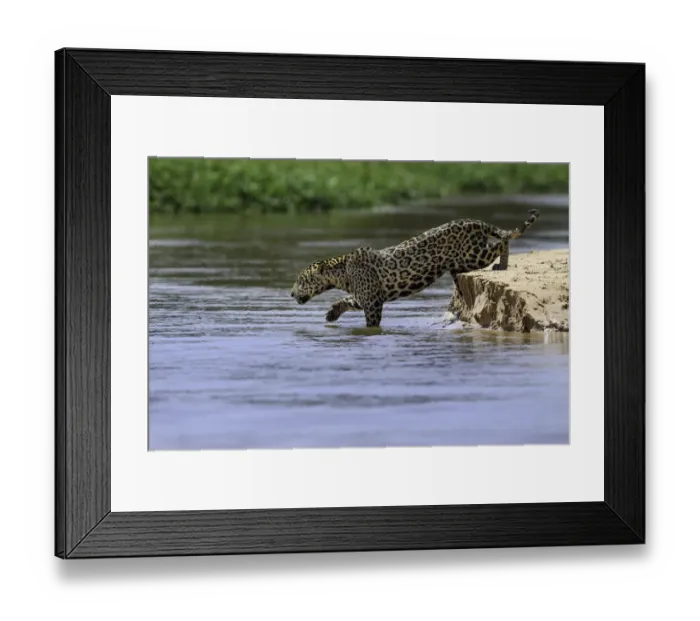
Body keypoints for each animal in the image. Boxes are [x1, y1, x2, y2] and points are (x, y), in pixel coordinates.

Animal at [290, 209, 540, 328]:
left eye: (302, 280)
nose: (291, 293)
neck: (341, 273)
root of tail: (475, 222)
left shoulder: (372, 303)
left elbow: (370, 322)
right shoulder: (366, 297)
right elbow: (346, 301)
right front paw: (332, 313)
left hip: (474, 256)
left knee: (504, 239)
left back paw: (502, 264)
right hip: (462, 263)